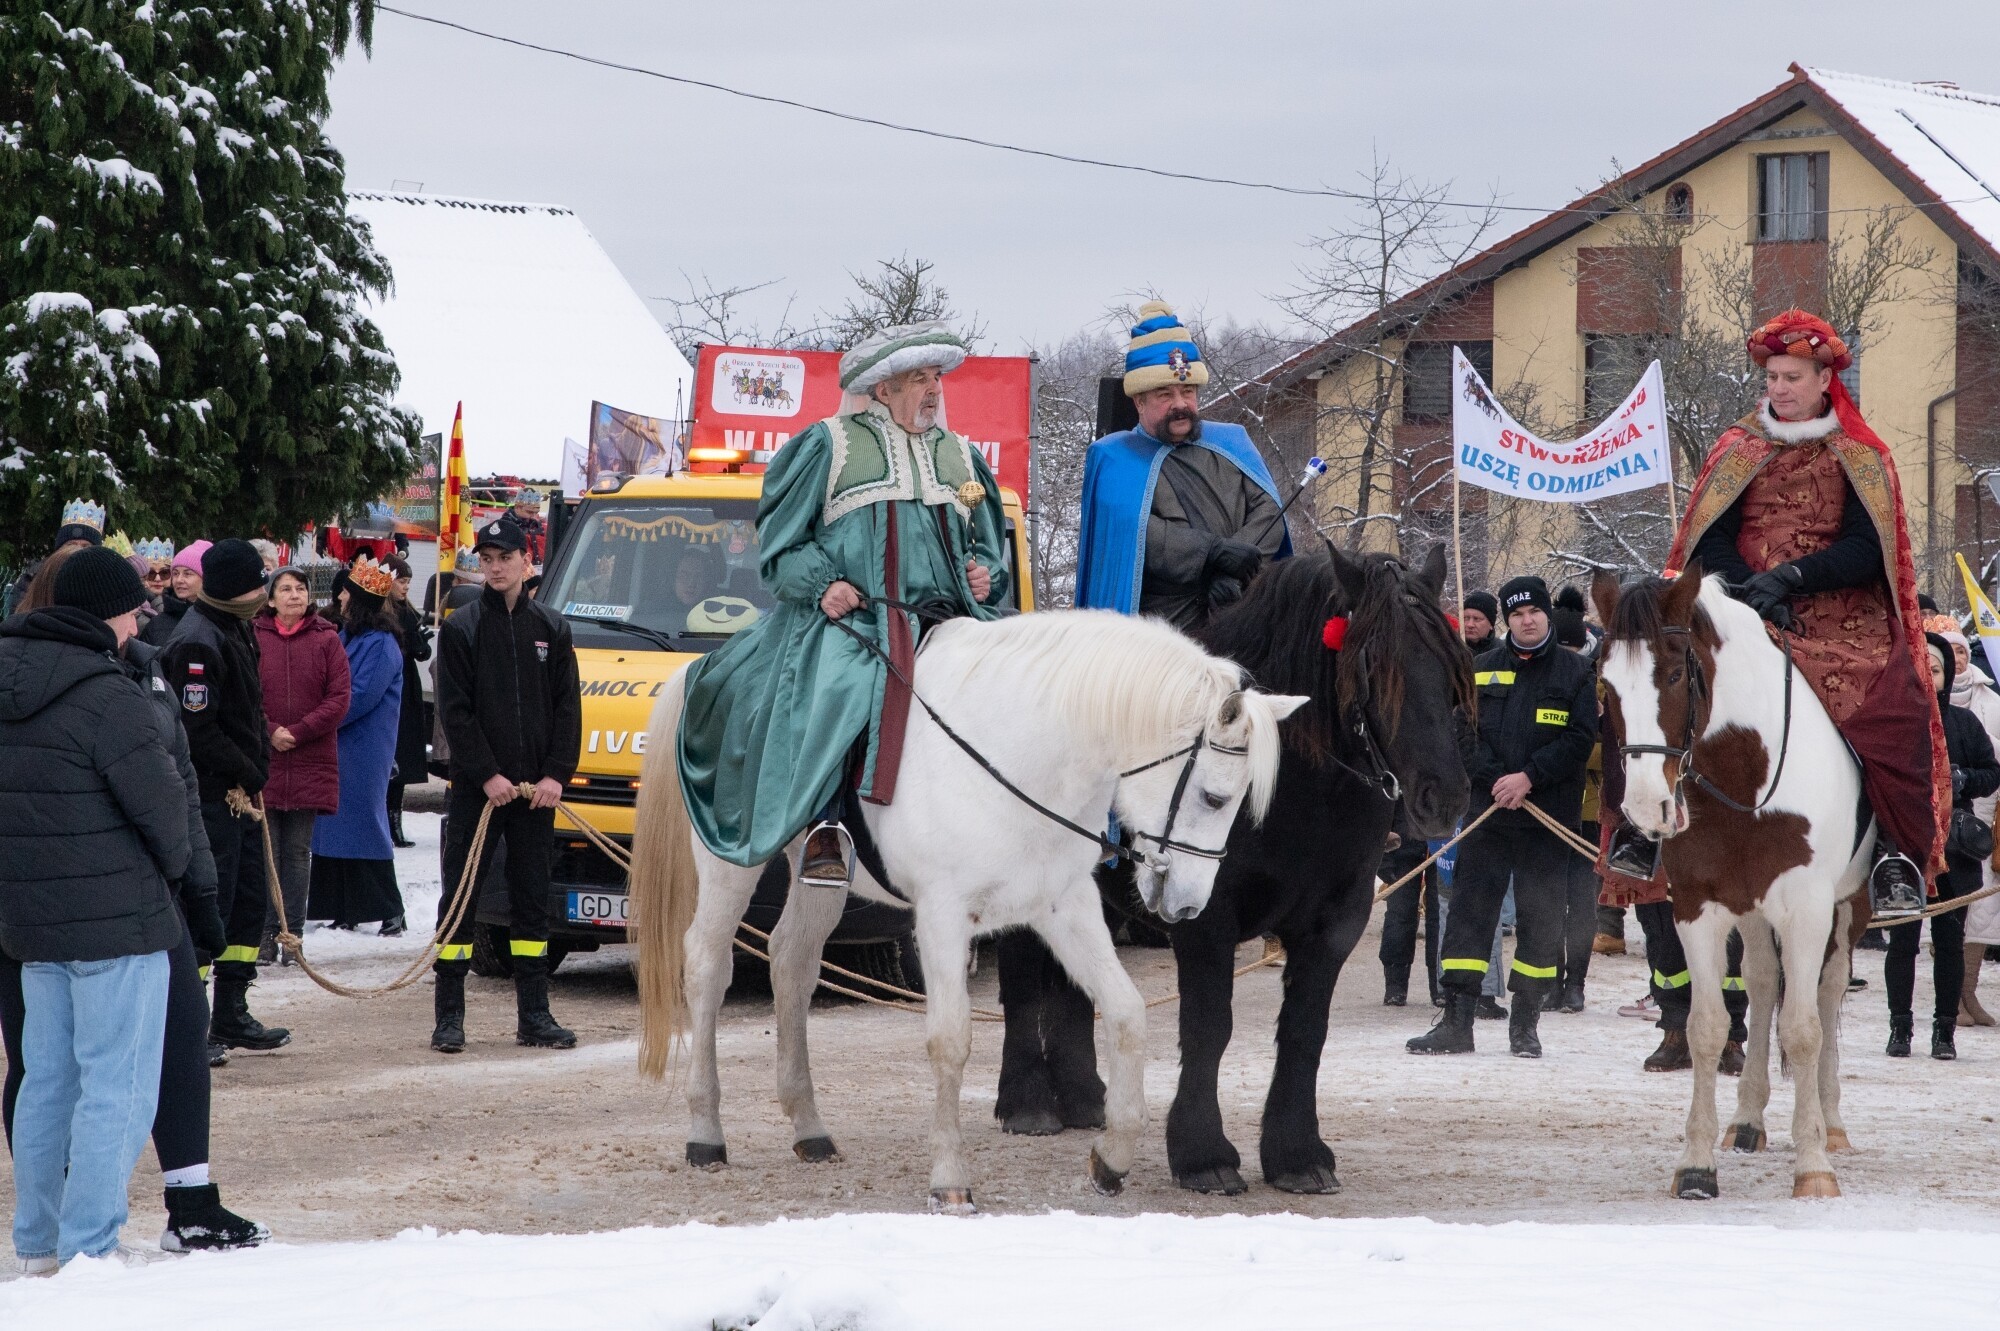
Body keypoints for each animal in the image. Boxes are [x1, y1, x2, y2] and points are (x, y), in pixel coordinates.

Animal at [627, 609, 1306, 1211]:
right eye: (1214, 796)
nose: (1188, 905)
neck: (1018, 754)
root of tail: (703, 666)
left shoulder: (1065, 905)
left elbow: (1128, 1014)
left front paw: (1111, 1161)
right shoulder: (943, 916)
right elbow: (950, 1040)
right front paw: (950, 1179)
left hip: (818, 873)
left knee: (791, 960)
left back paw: (810, 1129)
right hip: (731, 860)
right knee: (707, 965)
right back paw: (706, 1135)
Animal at [996, 545, 1473, 1195]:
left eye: (1451, 665)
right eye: (1375, 663)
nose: (1443, 797)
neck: (1296, 793)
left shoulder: (1335, 921)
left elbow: (1304, 1030)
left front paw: (1296, 1152)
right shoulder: (1204, 914)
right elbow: (1209, 1026)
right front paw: (1202, 1153)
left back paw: (1085, 1098)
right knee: (1020, 973)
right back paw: (1026, 1103)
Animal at [1592, 564, 1870, 1200]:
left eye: (1674, 673)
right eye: (1606, 686)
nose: (1645, 807)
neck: (1748, 774)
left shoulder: (1808, 907)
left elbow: (1803, 1029)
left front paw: (1813, 1164)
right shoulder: (1699, 906)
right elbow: (1707, 1026)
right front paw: (1696, 1165)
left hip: (1849, 905)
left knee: (1827, 993)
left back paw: (1832, 1124)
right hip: (1752, 909)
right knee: (1764, 984)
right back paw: (1747, 1122)